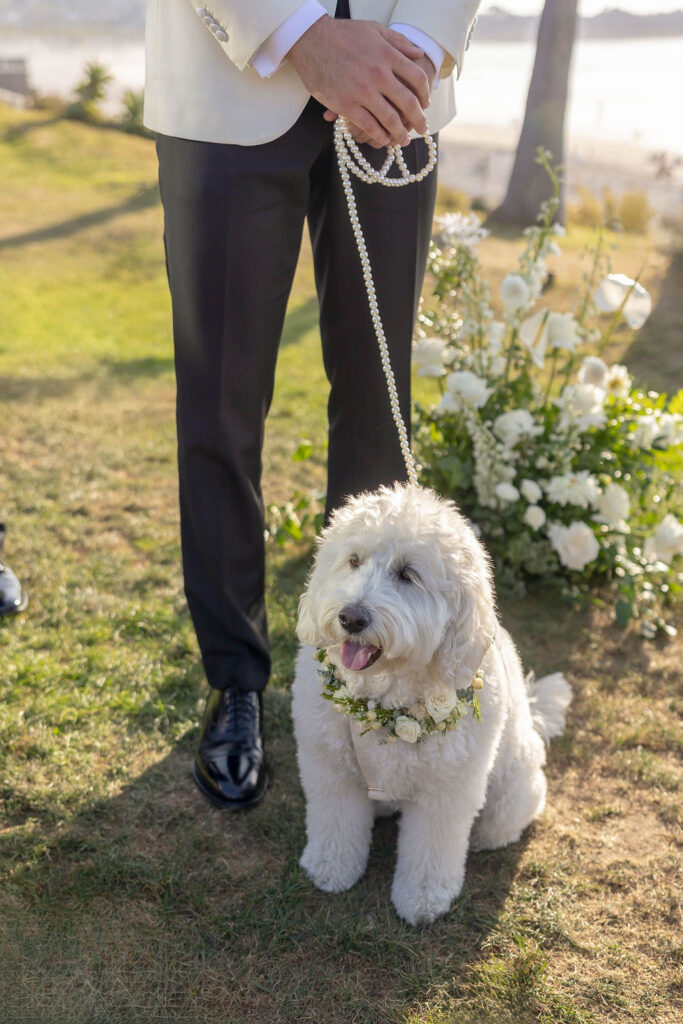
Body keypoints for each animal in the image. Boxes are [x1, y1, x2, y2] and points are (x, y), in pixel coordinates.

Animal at [292, 483, 573, 925]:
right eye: (353, 561)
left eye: (408, 575)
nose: (351, 618)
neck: (383, 699)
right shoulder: (330, 769)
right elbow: (334, 823)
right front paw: (330, 867)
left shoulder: (447, 791)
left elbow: (431, 849)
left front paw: (422, 898)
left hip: (512, 785)